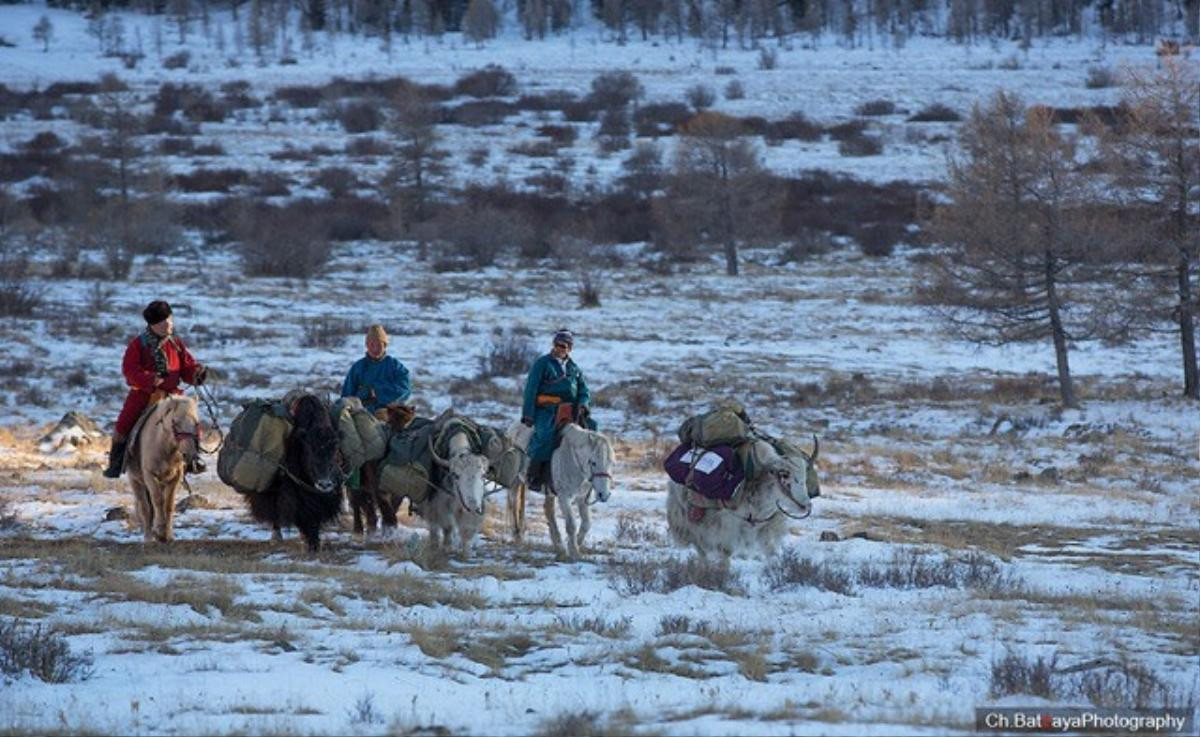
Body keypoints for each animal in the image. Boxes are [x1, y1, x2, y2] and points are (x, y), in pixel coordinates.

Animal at [125, 398, 202, 542]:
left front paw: (168, 534)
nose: (189, 454)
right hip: (135, 481)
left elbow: (169, 504)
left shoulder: (175, 478)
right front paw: (160, 532)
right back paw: (148, 536)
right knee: (144, 507)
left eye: (196, 423)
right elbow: (157, 500)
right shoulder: (150, 476)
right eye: (175, 422)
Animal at [547, 424, 614, 564]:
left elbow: (586, 524)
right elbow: (571, 525)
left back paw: (559, 547)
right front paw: (574, 552)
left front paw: (574, 544)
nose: (603, 495)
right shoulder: (564, 497)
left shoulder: (582, 498)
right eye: (593, 462)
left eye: (611, 462)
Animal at [667, 439, 816, 559]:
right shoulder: (726, 529)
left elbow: (771, 551)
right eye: (784, 475)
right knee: (701, 549)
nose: (806, 505)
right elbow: (725, 553)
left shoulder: (766, 529)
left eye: (805, 474)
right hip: (690, 524)